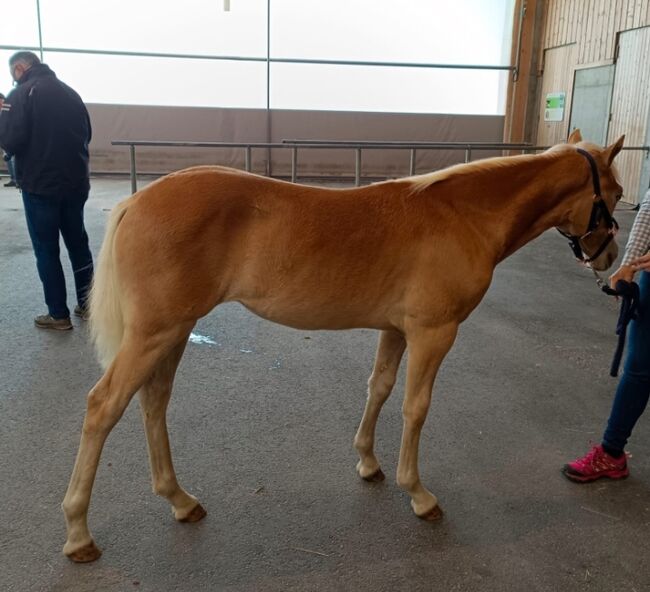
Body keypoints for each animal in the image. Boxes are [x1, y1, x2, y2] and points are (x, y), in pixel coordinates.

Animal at [62, 130, 624, 560]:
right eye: (616, 194)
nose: (608, 257)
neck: (463, 215)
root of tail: (136, 201)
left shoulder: (396, 330)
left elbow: (379, 387)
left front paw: (369, 463)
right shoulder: (433, 333)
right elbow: (416, 407)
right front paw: (418, 494)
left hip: (173, 332)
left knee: (153, 402)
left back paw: (179, 500)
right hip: (154, 333)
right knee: (102, 406)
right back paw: (78, 533)